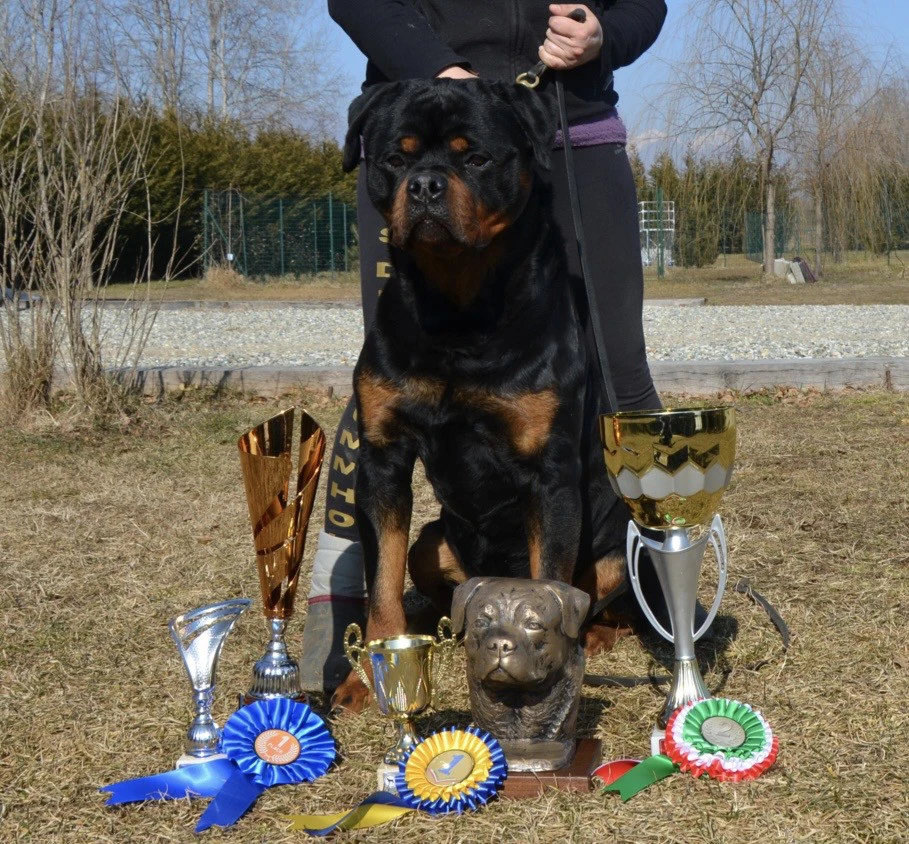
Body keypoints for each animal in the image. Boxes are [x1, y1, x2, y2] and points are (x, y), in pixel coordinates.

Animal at [330, 79, 636, 712]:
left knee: (606, 598)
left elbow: (552, 581)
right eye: (394, 158)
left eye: (476, 158)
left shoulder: (549, 472)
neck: (458, 314)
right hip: (431, 543)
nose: (425, 184)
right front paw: (365, 676)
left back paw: (598, 634)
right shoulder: (382, 458)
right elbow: (381, 586)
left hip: (620, 546)